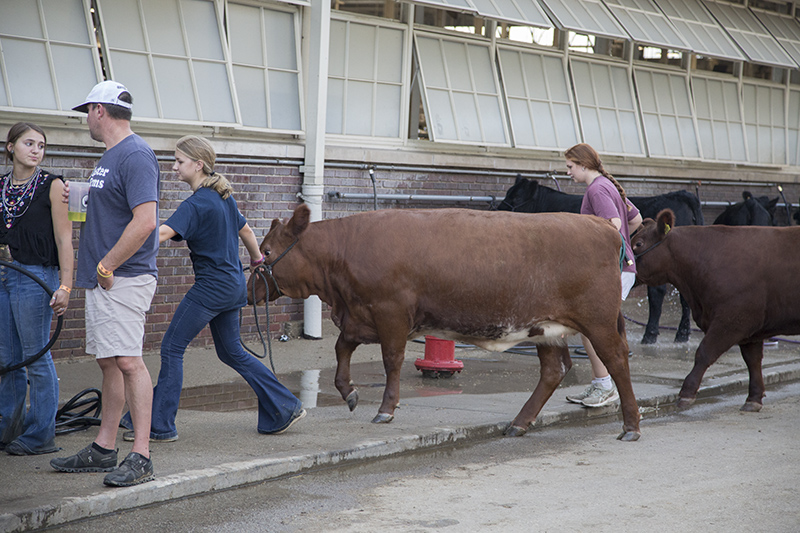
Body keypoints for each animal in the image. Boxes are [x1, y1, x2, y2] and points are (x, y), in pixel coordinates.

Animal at [247, 203, 640, 436]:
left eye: (265, 250)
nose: (248, 289)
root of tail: (601, 225)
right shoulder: (361, 315)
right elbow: (341, 347)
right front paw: (349, 391)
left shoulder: (390, 312)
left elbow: (391, 360)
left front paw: (386, 409)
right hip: (544, 328)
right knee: (553, 371)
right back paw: (519, 422)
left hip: (599, 321)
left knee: (617, 360)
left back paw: (631, 425)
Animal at [496, 177, 704, 344]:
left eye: (516, 198)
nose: (497, 210)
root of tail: (682, 194)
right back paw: (681, 335)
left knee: (658, 294)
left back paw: (650, 335)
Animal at [632, 209, 800, 412]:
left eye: (638, 244)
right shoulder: (751, 328)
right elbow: (753, 361)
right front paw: (754, 398)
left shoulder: (732, 320)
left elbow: (704, 352)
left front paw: (686, 393)